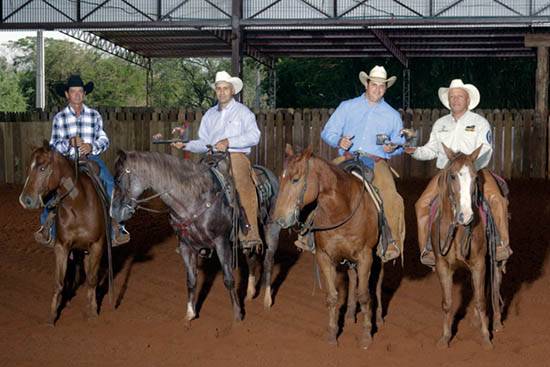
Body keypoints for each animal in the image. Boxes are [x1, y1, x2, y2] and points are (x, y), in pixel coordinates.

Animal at [18, 142, 113, 326]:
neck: (78, 204)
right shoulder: (62, 246)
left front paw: (92, 312)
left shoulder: (97, 245)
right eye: (28, 167)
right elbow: (59, 281)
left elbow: (92, 279)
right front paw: (52, 315)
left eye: (42, 168)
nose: (25, 200)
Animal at [270, 145, 384, 350]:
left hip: (379, 257)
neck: (342, 211)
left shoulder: (366, 257)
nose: (279, 219)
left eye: (296, 179)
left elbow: (365, 295)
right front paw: (332, 334)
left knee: (377, 285)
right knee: (353, 279)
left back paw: (378, 318)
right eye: (280, 177)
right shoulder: (325, 257)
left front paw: (366, 336)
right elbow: (332, 297)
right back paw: (350, 314)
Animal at [434, 145, 506, 352]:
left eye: (475, 178)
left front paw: (486, 338)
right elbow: (448, 303)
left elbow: (482, 300)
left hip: (495, 261)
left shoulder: (479, 263)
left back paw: (496, 322)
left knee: (494, 286)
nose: (465, 216)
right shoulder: (442, 265)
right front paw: (445, 338)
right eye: (452, 176)